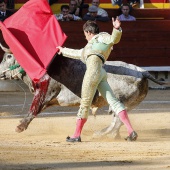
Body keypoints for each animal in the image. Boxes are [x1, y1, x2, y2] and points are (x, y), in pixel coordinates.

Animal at [0, 44, 165, 141]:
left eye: (8, 56)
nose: (0, 72)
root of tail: (142, 71)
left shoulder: (45, 92)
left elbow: (34, 108)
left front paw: (20, 127)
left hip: (120, 99)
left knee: (117, 118)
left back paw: (102, 134)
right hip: (130, 103)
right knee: (119, 118)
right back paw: (112, 134)